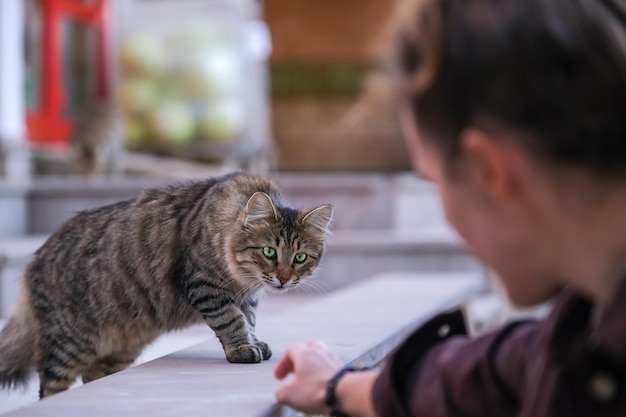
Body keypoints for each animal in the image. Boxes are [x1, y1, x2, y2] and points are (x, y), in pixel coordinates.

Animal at [0, 171, 332, 396]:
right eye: (269, 252)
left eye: (300, 257)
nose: (284, 279)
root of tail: (35, 259)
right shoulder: (204, 286)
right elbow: (232, 321)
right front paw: (242, 349)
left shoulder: (246, 296)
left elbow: (248, 320)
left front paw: (254, 342)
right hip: (69, 343)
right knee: (50, 387)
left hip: (121, 347)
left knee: (93, 375)